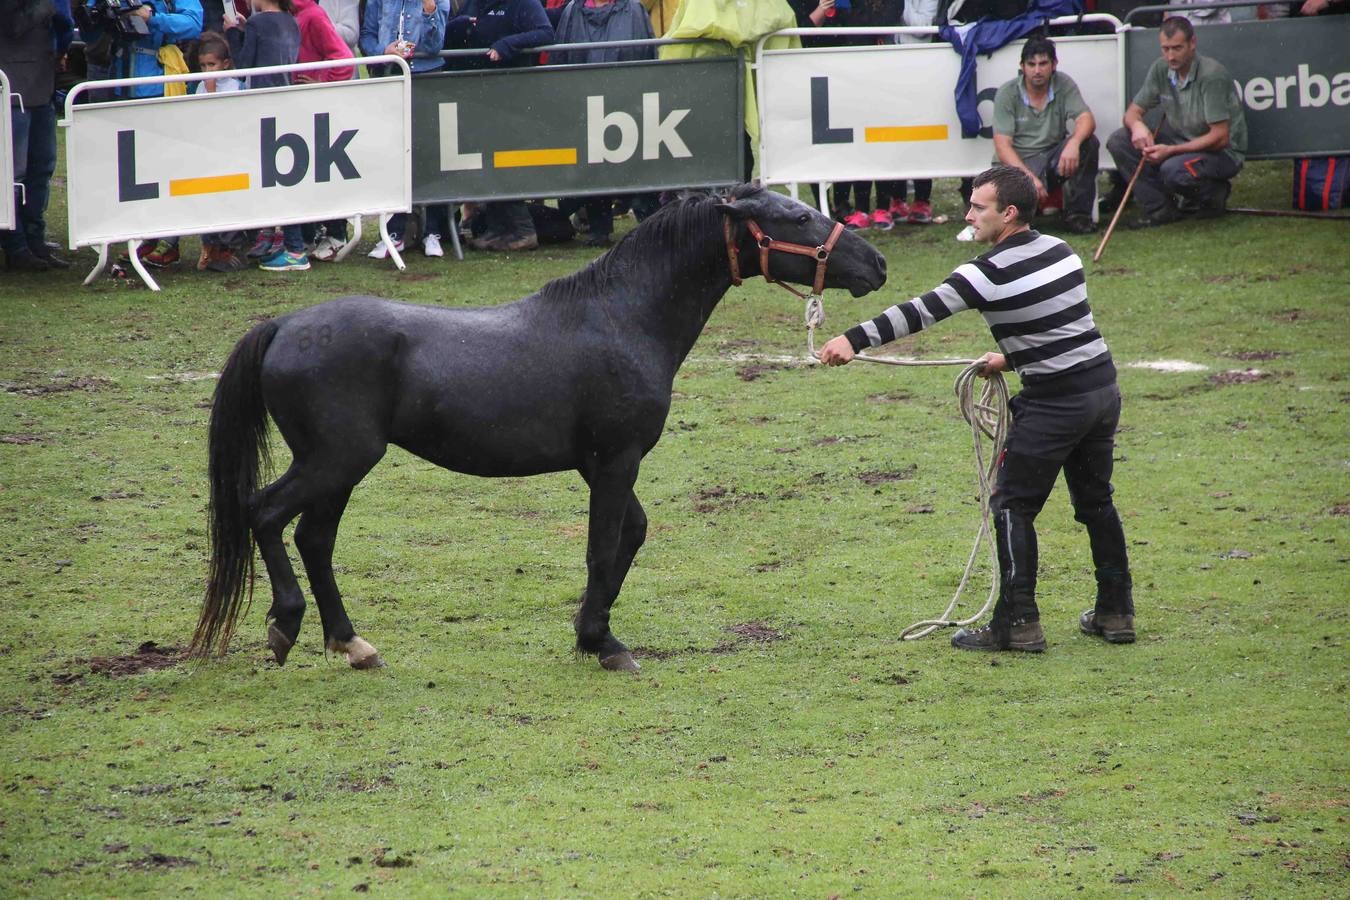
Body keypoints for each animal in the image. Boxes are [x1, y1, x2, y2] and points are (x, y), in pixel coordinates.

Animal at [190, 186, 885, 671]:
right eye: (796, 218)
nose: (876, 263)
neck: (621, 318)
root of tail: (283, 325)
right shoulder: (616, 460)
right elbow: (602, 544)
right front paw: (606, 644)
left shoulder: (600, 464)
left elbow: (631, 534)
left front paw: (588, 631)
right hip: (336, 460)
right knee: (265, 514)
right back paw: (286, 627)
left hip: (339, 468)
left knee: (314, 539)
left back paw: (351, 643)